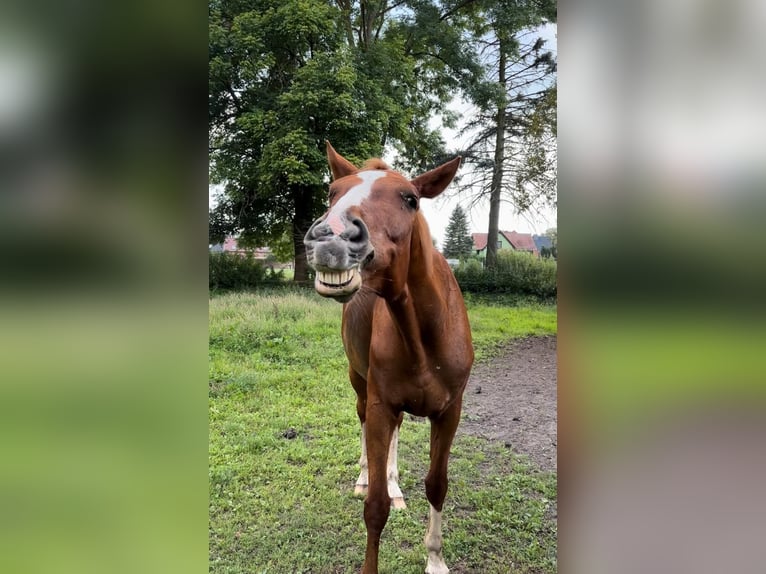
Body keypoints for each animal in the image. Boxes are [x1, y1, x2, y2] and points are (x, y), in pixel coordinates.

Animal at [304, 143, 474, 574]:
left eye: (410, 199)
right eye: (332, 192)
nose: (331, 238)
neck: (423, 337)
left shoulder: (449, 411)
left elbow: (437, 485)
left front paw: (435, 559)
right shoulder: (381, 404)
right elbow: (375, 507)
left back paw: (396, 485)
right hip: (361, 384)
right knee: (364, 423)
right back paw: (367, 476)